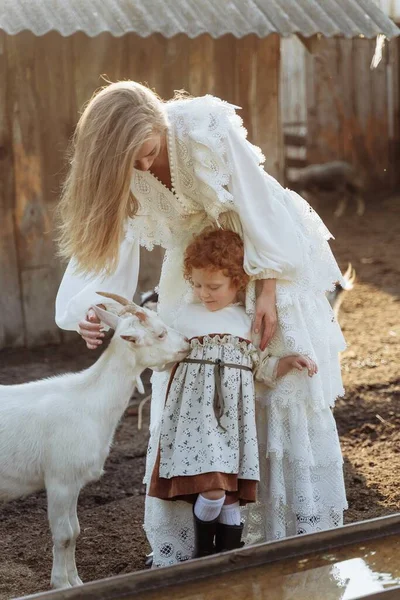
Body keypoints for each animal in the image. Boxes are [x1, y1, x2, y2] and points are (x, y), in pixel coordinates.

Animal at [0, 292, 189, 588]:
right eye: (160, 333)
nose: (188, 343)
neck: (88, 400)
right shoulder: (59, 480)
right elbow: (64, 534)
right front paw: (60, 585)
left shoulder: (74, 482)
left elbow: (76, 532)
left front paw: (77, 582)